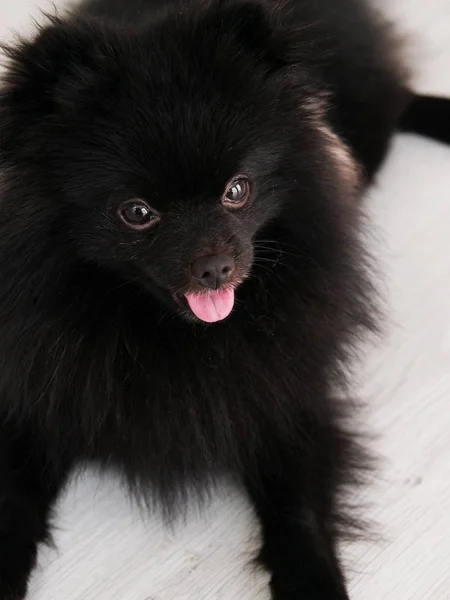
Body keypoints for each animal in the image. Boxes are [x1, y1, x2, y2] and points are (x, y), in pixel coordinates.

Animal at [0, 0, 450, 596]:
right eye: (136, 212)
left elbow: (298, 512)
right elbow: (12, 509)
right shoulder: (35, 396)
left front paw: (314, 583)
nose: (215, 265)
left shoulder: (286, 395)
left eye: (238, 190)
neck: (167, 335)